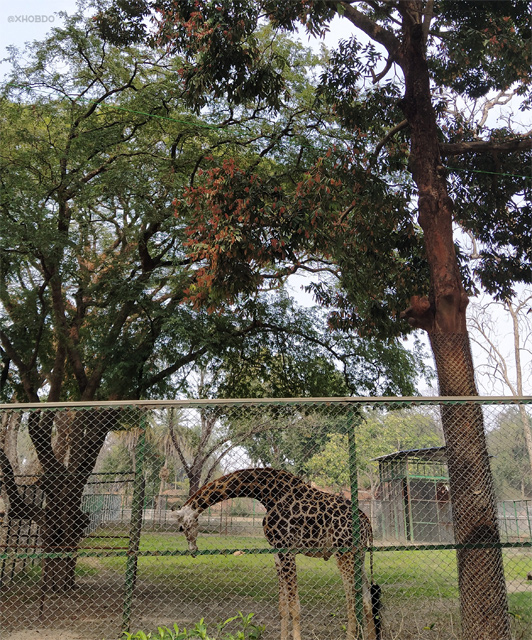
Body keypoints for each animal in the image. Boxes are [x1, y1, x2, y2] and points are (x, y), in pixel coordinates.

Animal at [172, 464, 376, 640]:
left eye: (181, 528)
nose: (193, 550)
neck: (267, 493)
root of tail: (367, 522)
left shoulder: (288, 549)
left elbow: (295, 607)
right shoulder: (277, 552)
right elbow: (283, 607)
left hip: (344, 552)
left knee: (352, 598)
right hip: (359, 554)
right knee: (367, 598)